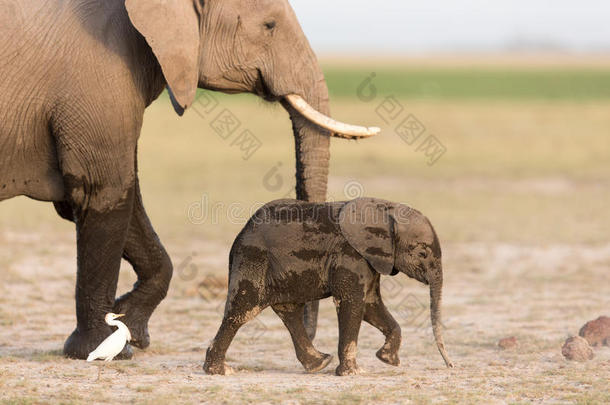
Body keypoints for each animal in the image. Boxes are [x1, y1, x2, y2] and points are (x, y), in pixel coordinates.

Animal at [0, 0, 378, 360]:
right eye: (269, 25)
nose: (315, 345)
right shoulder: (98, 84)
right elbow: (102, 191)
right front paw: (105, 348)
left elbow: (122, 198)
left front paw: (130, 327)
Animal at [204, 197, 452, 374]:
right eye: (423, 253)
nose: (450, 366)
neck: (385, 209)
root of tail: (239, 235)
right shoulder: (350, 256)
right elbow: (353, 303)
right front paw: (353, 373)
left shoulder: (370, 261)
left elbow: (370, 305)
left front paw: (388, 360)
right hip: (253, 260)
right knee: (242, 311)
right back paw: (220, 371)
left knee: (289, 311)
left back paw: (319, 363)